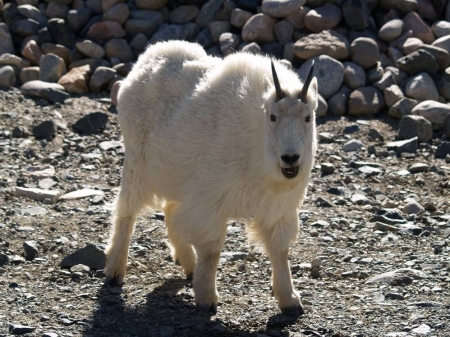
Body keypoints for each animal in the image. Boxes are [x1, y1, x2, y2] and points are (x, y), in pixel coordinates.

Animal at [105, 40, 318, 316]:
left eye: (308, 117)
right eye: (272, 116)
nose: (290, 158)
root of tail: (144, 61)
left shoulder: (278, 207)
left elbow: (279, 250)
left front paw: (290, 301)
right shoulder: (210, 199)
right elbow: (212, 249)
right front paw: (207, 299)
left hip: (176, 174)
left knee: (170, 209)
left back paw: (188, 265)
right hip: (137, 162)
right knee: (127, 211)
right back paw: (115, 270)